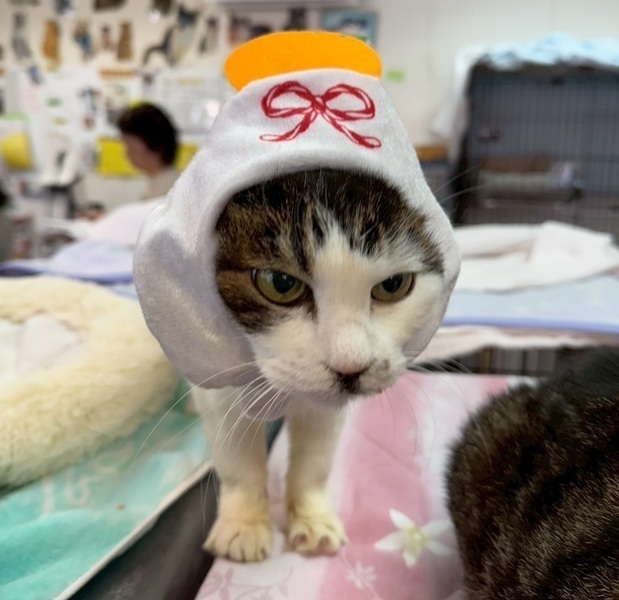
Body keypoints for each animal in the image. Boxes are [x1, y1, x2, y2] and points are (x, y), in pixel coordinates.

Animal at [192, 168, 453, 562]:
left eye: (394, 284)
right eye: (280, 283)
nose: (351, 366)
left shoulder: (326, 410)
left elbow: (314, 462)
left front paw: (313, 521)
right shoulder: (220, 382)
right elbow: (237, 459)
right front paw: (243, 526)